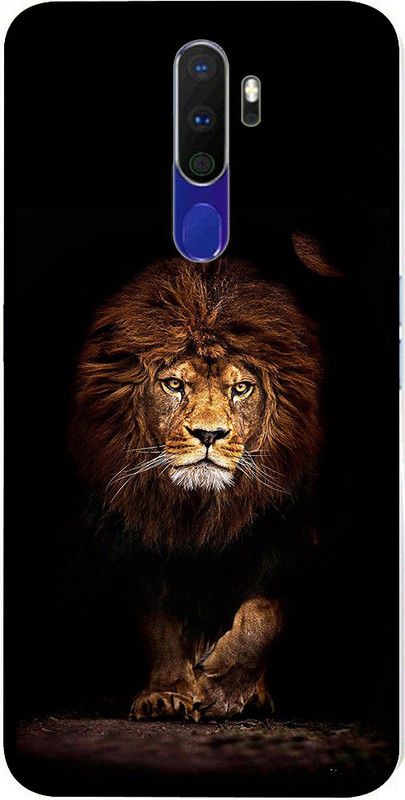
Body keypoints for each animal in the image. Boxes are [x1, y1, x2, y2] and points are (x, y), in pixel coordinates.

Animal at [71, 242, 331, 720]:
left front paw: (223, 687)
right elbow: (160, 623)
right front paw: (169, 692)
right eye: (174, 384)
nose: (209, 434)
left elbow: (264, 613)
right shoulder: (138, 539)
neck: (201, 511)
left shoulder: (291, 538)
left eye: (242, 389)